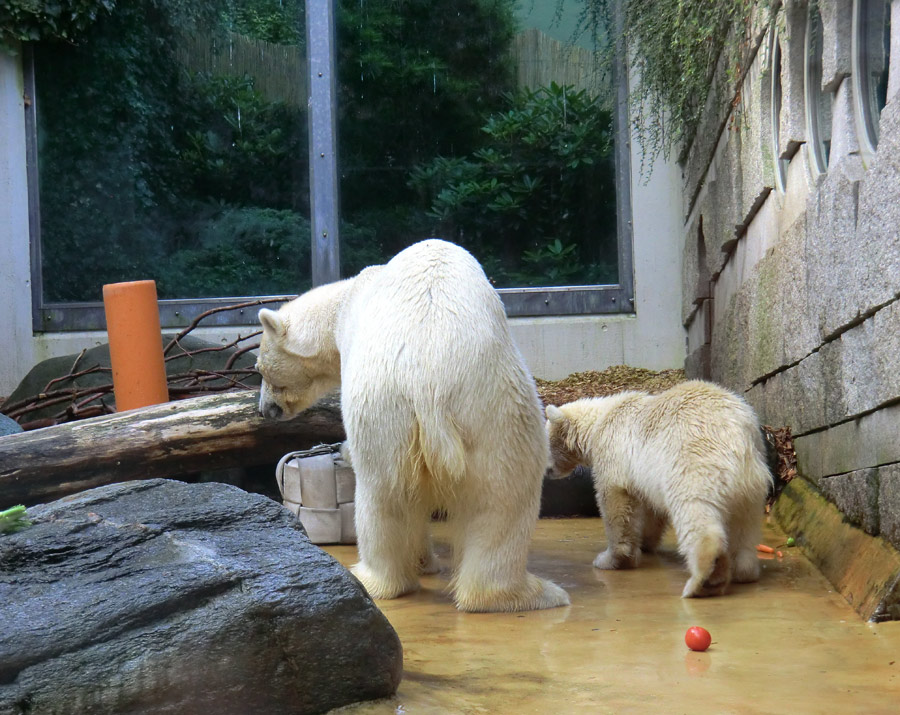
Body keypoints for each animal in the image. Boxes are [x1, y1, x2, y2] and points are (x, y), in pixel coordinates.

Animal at [258, 241, 568, 616]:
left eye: (259, 369)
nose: (265, 410)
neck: (343, 301)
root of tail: (429, 381)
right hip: (496, 410)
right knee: (503, 495)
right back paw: (516, 594)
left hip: (386, 407)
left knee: (383, 496)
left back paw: (372, 576)